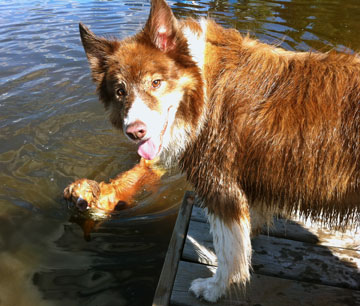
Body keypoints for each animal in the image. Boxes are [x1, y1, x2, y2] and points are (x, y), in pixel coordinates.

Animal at [78, 0, 360, 302]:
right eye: (120, 91)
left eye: (156, 82)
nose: (135, 131)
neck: (201, 87)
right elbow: (244, 236)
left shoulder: (219, 184)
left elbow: (228, 251)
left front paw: (215, 288)